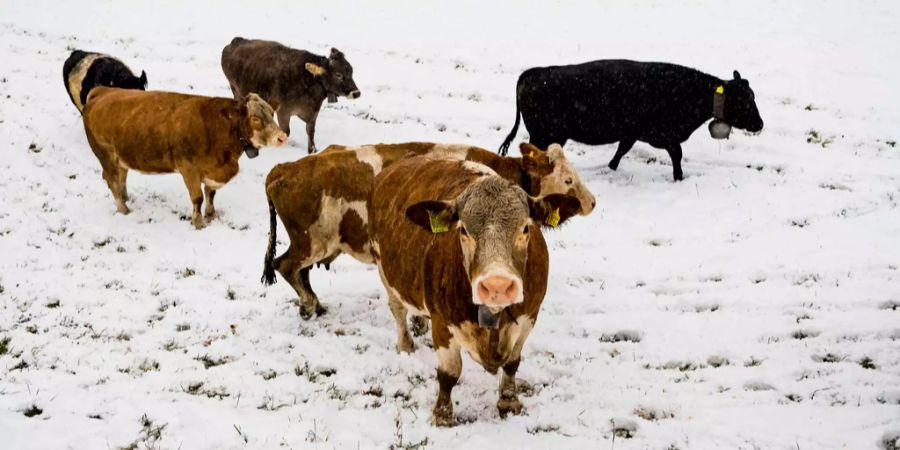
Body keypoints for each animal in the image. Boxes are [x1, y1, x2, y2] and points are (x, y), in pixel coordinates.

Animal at [82, 87, 284, 229]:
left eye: (272, 113)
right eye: (255, 118)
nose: (282, 137)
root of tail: (103, 91)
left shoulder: (213, 170)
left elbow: (210, 194)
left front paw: (212, 215)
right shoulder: (189, 169)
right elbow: (198, 198)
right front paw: (199, 223)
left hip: (120, 158)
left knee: (121, 178)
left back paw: (126, 199)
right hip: (106, 156)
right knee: (113, 181)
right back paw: (123, 209)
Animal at [220, 37, 360, 153]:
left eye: (351, 71)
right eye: (338, 75)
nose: (356, 93)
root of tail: (237, 40)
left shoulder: (313, 115)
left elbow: (311, 132)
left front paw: (313, 151)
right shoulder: (283, 111)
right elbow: (286, 132)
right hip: (235, 90)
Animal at [260, 141, 596, 320]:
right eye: (568, 180)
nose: (591, 201)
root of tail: (282, 170)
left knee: (298, 271)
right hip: (311, 243)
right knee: (285, 265)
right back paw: (311, 305)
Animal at [368, 156, 584, 426]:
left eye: (526, 228)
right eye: (463, 230)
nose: (497, 285)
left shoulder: (529, 316)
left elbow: (512, 363)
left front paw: (509, 401)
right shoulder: (443, 320)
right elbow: (449, 373)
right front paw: (442, 415)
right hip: (384, 269)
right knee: (398, 311)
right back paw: (406, 344)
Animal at [500, 59, 768, 181]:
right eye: (743, 100)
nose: (759, 124)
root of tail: (533, 72)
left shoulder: (632, 132)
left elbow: (622, 149)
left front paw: (611, 167)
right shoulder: (664, 135)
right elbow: (677, 154)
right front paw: (679, 177)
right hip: (544, 133)